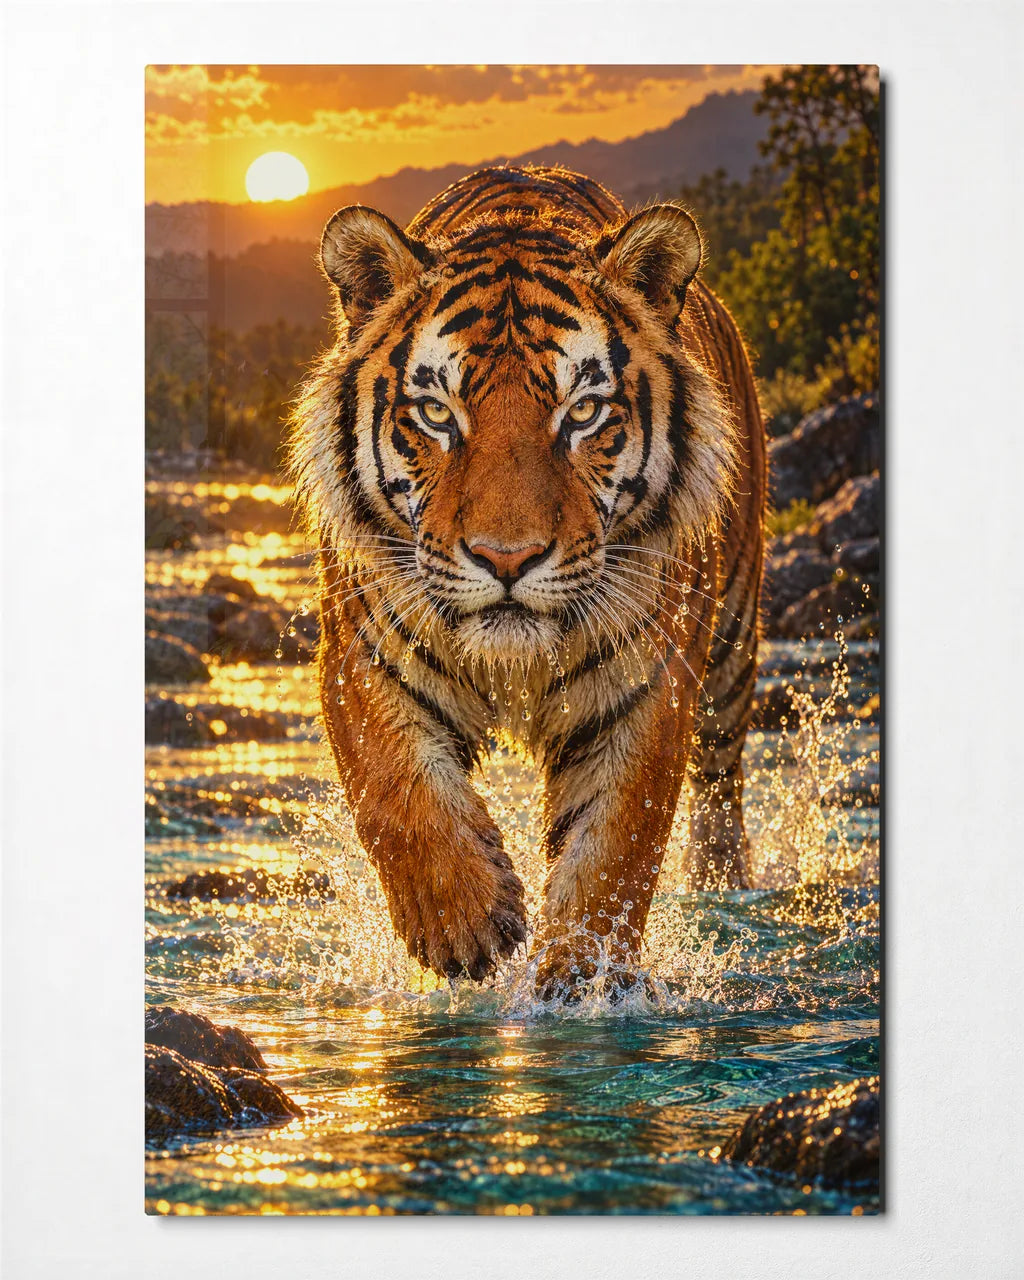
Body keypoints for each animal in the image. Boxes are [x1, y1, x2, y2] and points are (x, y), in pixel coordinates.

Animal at [289, 164, 766, 999]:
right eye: (436, 412)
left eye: (583, 412)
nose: (506, 558)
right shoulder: (360, 652)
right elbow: (395, 790)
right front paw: (465, 926)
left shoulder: (648, 682)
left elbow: (614, 845)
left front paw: (583, 982)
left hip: (733, 646)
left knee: (719, 783)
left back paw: (723, 888)